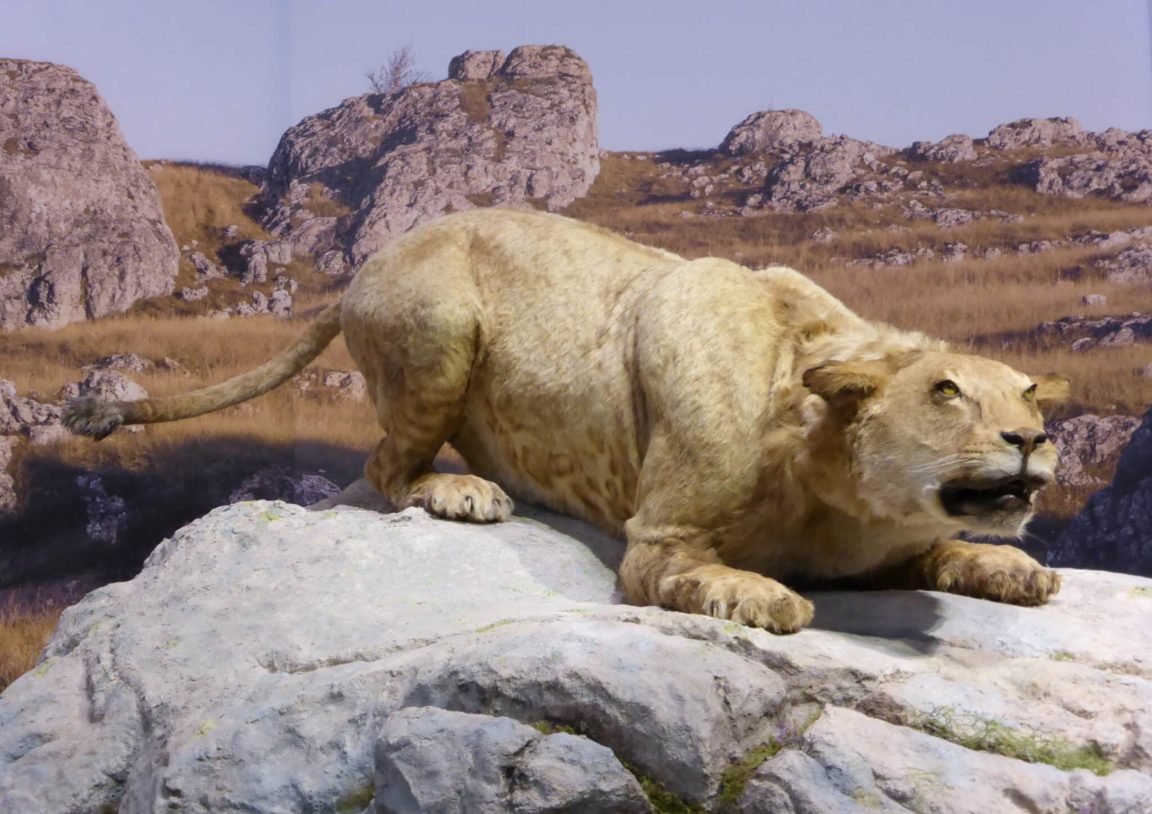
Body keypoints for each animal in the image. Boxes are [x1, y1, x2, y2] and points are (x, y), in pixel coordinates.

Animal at [64, 208, 1069, 633]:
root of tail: (369, 259)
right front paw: (766, 596)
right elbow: (704, 578)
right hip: (437, 330)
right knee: (385, 469)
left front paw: (1018, 570)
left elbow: (953, 551)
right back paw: (465, 493)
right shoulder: (654, 542)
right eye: (946, 392)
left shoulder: (888, 548)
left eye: (1028, 395)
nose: (1032, 440)